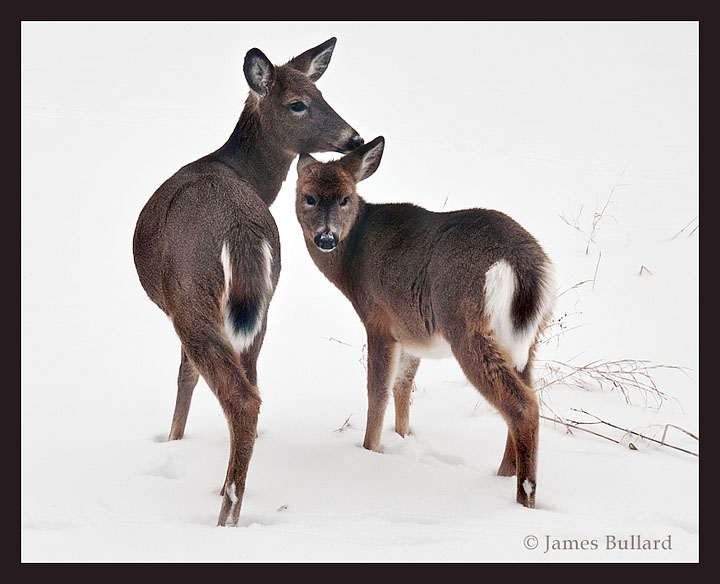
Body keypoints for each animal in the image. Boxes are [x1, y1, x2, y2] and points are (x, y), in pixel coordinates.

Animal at [132, 38, 363, 527]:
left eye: (320, 94)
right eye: (300, 102)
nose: (353, 137)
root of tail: (239, 228)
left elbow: (184, 376)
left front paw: (173, 441)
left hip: (192, 294)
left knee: (239, 396)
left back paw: (227, 514)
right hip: (262, 302)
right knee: (253, 385)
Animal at [294, 136, 556, 509]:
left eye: (345, 198)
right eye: (309, 197)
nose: (326, 238)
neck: (352, 261)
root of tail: (521, 264)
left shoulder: (379, 319)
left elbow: (378, 389)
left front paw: (370, 449)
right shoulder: (412, 331)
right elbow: (403, 386)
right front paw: (403, 437)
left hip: (467, 326)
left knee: (522, 405)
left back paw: (523, 496)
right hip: (527, 338)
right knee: (527, 393)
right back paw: (504, 474)